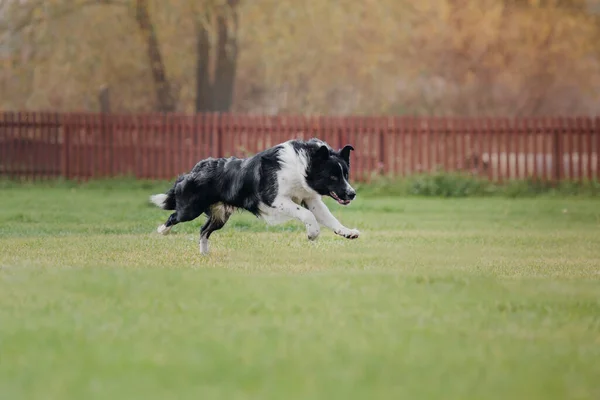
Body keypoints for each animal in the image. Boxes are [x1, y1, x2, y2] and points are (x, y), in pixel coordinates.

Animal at [150, 138, 358, 255]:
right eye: (332, 177)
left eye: (346, 175)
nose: (352, 194)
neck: (302, 165)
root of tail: (195, 169)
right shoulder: (275, 199)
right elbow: (307, 215)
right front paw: (312, 233)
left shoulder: (311, 199)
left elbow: (329, 218)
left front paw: (347, 232)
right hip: (190, 210)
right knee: (173, 216)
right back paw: (162, 231)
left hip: (220, 216)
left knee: (203, 230)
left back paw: (204, 254)